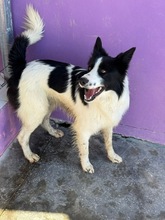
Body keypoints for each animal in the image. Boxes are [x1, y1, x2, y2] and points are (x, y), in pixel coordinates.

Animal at [7, 5, 135, 173]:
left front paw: (112, 156)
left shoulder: (108, 121)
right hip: (36, 110)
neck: (106, 99)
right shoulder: (83, 128)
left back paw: (53, 132)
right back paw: (29, 156)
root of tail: (22, 67)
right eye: (89, 68)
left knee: (45, 120)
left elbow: (109, 142)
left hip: (47, 103)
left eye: (103, 72)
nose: (81, 80)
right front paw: (86, 165)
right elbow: (85, 149)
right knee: (22, 137)